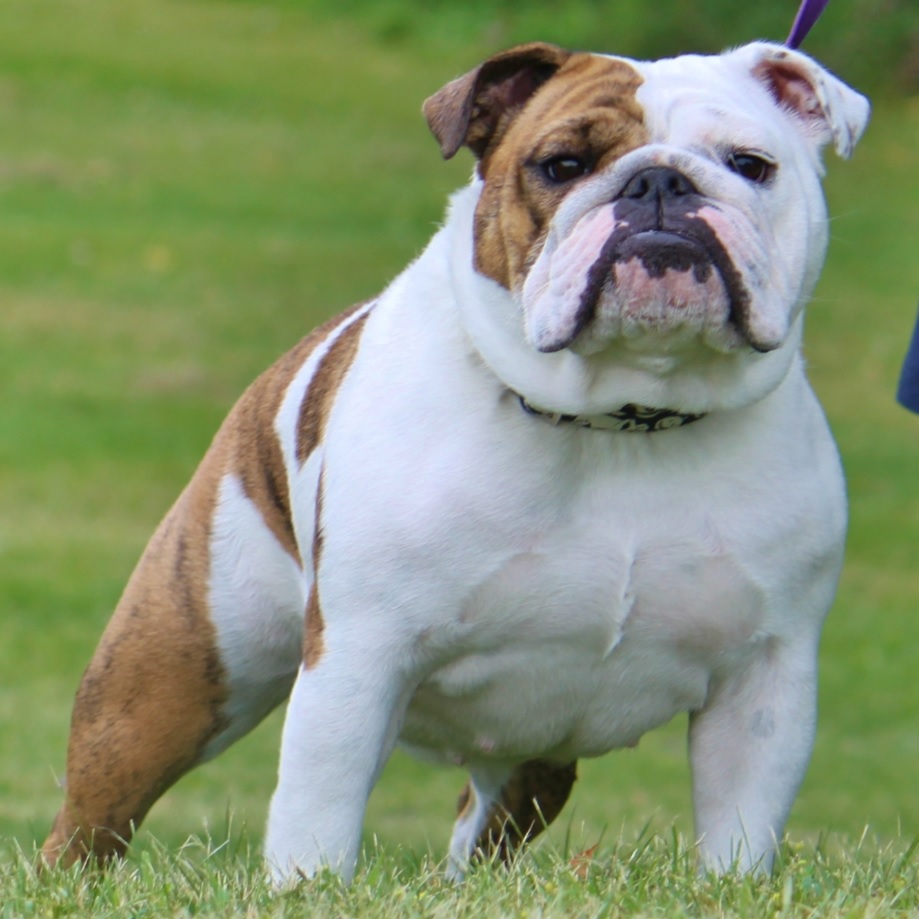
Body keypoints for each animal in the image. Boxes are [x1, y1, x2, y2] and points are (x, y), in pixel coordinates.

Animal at [42, 40, 869, 883]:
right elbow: (318, 812)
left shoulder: (763, 679)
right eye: (562, 165)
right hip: (172, 679)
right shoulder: (358, 655)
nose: (659, 183)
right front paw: (309, 887)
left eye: (750, 165)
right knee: (93, 817)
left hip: (535, 757)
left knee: (484, 828)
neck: (618, 419)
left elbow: (738, 829)